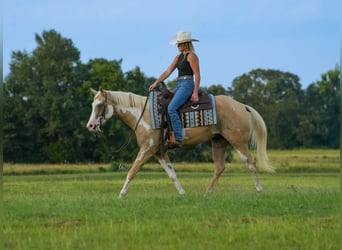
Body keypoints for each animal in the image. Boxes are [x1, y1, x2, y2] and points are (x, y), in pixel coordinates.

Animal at [87, 87, 274, 197]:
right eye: (92, 104)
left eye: (100, 105)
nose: (91, 126)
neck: (143, 114)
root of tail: (242, 105)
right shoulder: (159, 152)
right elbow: (172, 174)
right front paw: (183, 193)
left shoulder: (148, 149)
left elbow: (133, 170)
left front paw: (121, 194)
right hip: (218, 142)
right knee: (220, 167)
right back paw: (207, 193)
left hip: (238, 142)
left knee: (251, 163)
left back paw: (259, 190)